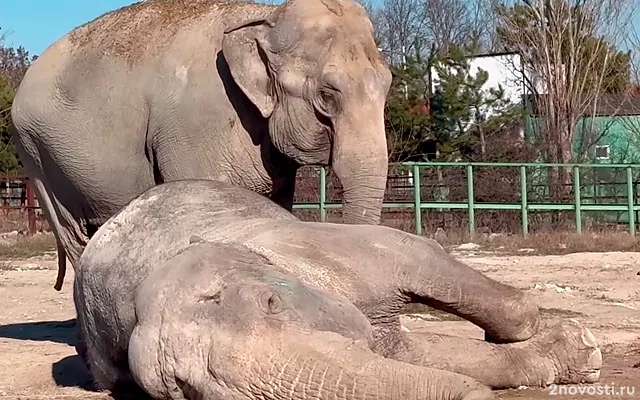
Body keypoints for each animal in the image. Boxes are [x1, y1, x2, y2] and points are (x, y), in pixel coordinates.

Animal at [10, 0, 390, 290]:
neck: (266, 16)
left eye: (389, 84)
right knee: (74, 235)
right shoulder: (196, 127)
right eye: (327, 95)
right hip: (38, 155)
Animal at [77, 180, 604, 398]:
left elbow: (417, 255)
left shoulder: (324, 249)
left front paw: (580, 347)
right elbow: (410, 355)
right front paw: (574, 355)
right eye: (185, 389)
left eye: (271, 303)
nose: (473, 398)